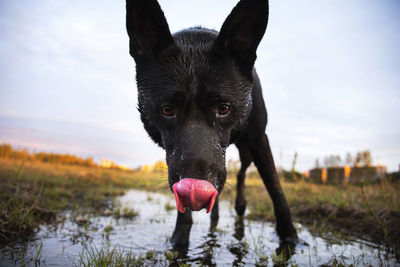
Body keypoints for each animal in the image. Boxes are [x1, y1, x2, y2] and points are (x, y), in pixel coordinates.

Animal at [125, 0, 296, 249]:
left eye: (223, 108)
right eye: (167, 109)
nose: (197, 188)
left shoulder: (259, 139)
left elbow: (276, 188)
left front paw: (290, 237)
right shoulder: (176, 162)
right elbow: (183, 209)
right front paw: (179, 242)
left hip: (246, 149)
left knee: (242, 170)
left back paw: (240, 205)